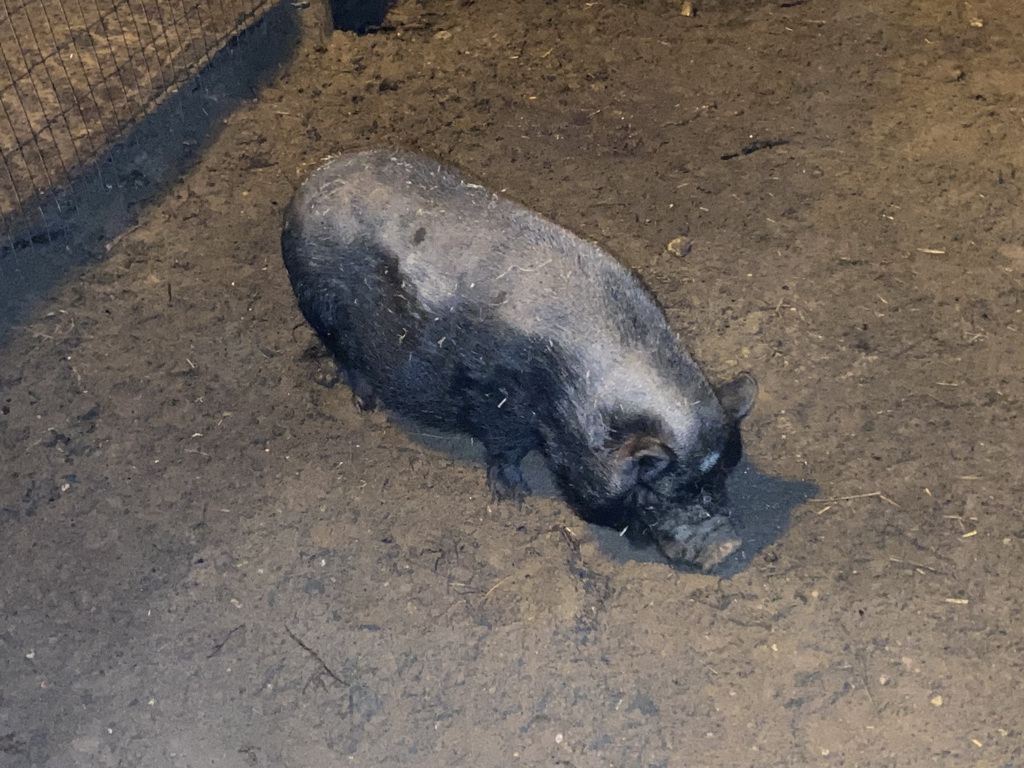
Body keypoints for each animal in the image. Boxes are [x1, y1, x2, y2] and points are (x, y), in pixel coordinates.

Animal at [284, 150, 757, 573]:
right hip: (319, 308)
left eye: (721, 478)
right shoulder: (497, 401)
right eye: (656, 492)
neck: (574, 395)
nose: (727, 548)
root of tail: (305, 188)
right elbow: (503, 449)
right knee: (344, 358)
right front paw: (514, 498)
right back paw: (365, 404)